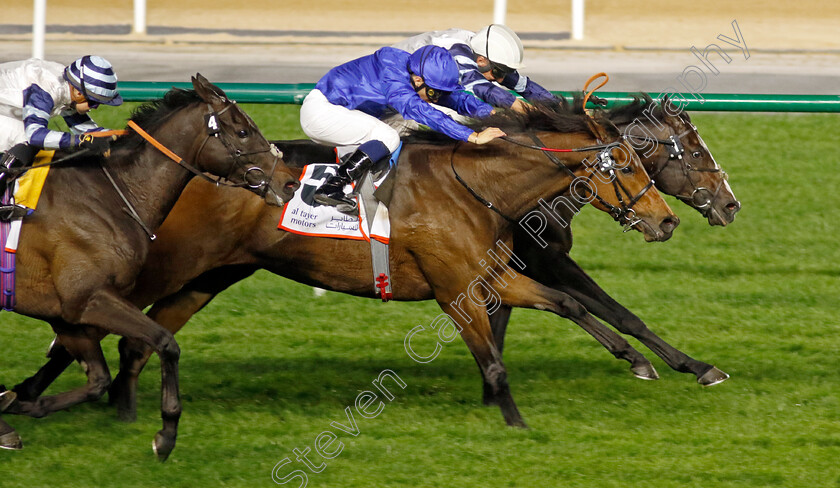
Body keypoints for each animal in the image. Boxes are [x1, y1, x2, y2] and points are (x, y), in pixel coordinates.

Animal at [0, 75, 300, 458]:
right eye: (244, 131)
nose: (290, 183)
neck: (111, 195)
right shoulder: (88, 299)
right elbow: (164, 342)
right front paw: (167, 433)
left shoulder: (67, 312)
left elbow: (98, 380)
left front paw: (18, 403)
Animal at [4, 104, 676, 430]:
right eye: (628, 163)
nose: (667, 221)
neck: (475, 186)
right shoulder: (454, 288)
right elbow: (492, 359)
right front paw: (512, 421)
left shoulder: (489, 275)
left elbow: (565, 302)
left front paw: (638, 360)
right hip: (159, 266)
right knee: (84, 320)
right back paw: (34, 394)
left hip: (209, 277)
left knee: (137, 341)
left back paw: (122, 410)